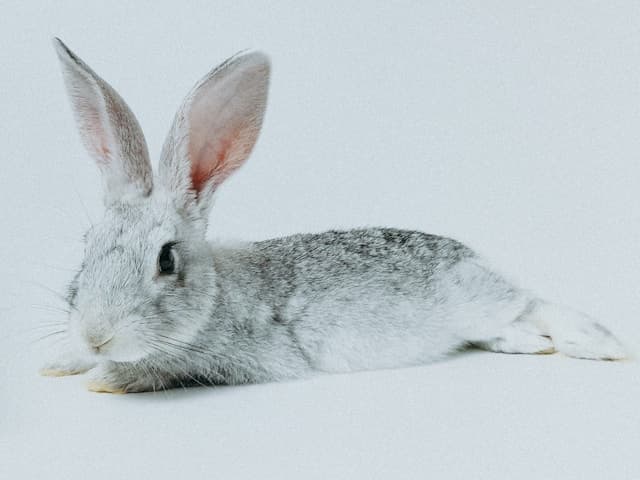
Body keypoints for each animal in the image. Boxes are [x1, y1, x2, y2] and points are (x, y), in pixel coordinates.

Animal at [40, 38, 627, 393]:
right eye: (86, 246)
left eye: (166, 260)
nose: (96, 334)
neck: (216, 298)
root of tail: (477, 261)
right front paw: (61, 361)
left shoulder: (225, 358)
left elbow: (153, 369)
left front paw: (102, 376)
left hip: (482, 300)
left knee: (536, 306)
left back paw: (598, 347)